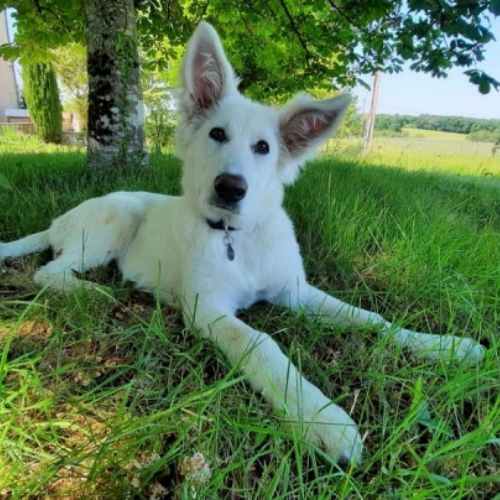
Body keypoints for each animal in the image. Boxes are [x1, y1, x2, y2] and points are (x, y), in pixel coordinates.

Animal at [0, 22, 485, 465]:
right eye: (217, 134)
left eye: (264, 147)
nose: (231, 188)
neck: (236, 236)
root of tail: (58, 221)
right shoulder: (208, 309)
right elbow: (262, 344)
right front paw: (321, 417)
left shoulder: (295, 291)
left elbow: (371, 318)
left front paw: (445, 346)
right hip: (118, 214)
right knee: (50, 271)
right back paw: (95, 292)